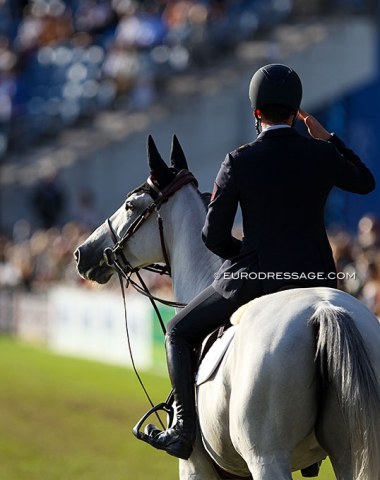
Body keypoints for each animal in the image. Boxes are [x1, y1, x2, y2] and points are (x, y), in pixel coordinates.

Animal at [75, 136, 380, 480]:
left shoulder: (195, 466)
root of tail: (324, 311)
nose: (83, 253)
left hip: (267, 457)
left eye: (130, 206)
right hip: (352, 452)